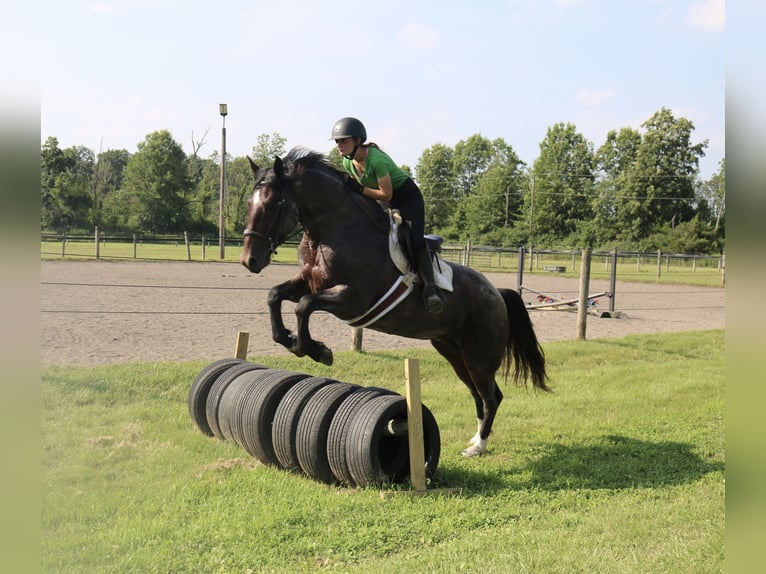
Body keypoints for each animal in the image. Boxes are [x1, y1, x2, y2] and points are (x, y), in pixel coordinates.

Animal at [240, 147, 550, 456]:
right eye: (249, 203)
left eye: (271, 204)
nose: (249, 261)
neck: (332, 232)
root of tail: (496, 293)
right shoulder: (309, 283)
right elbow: (275, 295)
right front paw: (289, 339)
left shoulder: (352, 300)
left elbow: (304, 305)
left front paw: (317, 351)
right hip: (452, 350)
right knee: (477, 394)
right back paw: (474, 439)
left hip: (479, 355)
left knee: (491, 396)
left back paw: (479, 446)